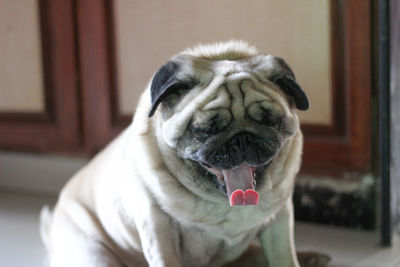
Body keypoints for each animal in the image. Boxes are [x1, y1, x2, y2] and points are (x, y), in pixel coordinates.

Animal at [40, 41, 328, 267]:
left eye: (271, 121)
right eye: (205, 130)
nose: (242, 138)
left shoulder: (279, 219)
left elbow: (283, 256)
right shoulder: (157, 226)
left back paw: (311, 257)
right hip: (94, 256)